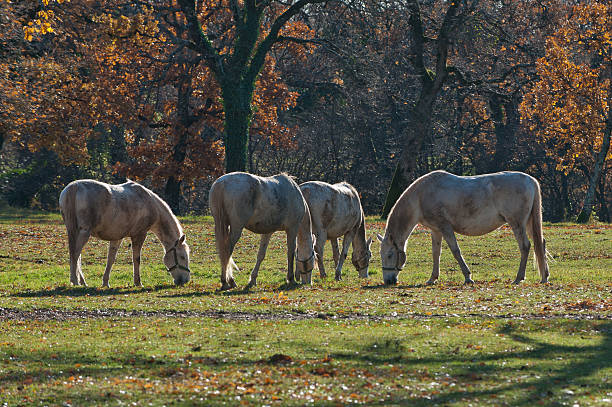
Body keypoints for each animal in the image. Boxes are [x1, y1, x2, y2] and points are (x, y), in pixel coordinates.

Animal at [60, 180, 190, 288]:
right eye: (183, 257)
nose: (185, 281)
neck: (148, 203)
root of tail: (74, 186)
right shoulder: (139, 235)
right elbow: (136, 258)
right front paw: (138, 282)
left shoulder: (117, 238)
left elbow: (111, 259)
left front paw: (105, 283)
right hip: (84, 233)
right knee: (75, 254)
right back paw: (75, 281)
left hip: (77, 232)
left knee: (77, 256)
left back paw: (82, 282)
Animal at [378, 171, 548, 286]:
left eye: (389, 255)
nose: (388, 281)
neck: (420, 197)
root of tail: (531, 180)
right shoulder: (436, 230)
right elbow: (436, 253)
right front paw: (432, 279)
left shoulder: (445, 227)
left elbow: (455, 251)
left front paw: (468, 277)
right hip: (528, 223)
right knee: (540, 244)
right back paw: (544, 276)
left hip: (517, 223)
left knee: (525, 246)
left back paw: (519, 278)